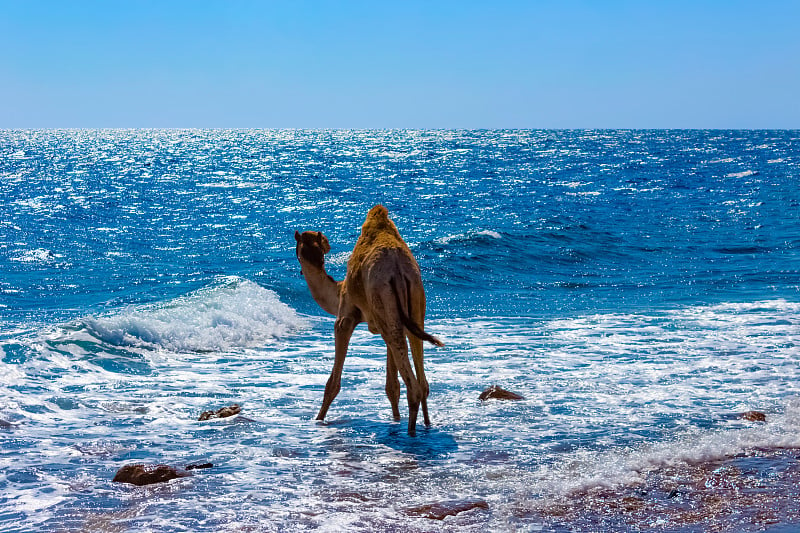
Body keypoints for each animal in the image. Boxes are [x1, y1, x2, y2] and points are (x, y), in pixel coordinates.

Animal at [296, 206, 444, 434]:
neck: (338, 289)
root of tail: (397, 269)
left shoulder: (345, 318)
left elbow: (332, 384)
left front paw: (318, 419)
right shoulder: (389, 322)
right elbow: (392, 386)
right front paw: (395, 419)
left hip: (384, 300)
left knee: (414, 387)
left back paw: (411, 435)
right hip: (413, 304)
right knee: (422, 380)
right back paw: (426, 426)